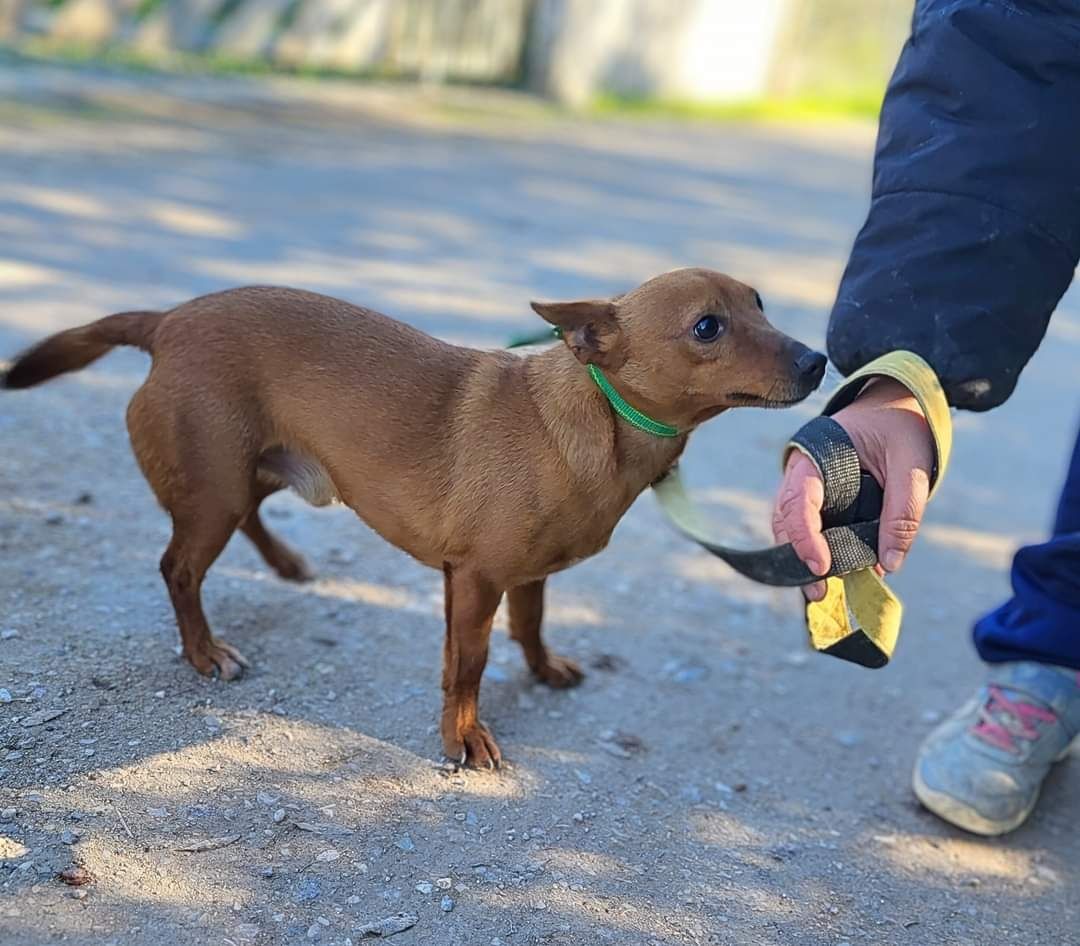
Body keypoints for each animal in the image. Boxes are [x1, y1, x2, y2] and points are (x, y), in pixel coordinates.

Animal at [4, 267, 820, 768]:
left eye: (759, 303)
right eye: (708, 327)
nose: (818, 361)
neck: (598, 413)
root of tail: (168, 320)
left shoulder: (527, 577)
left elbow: (529, 628)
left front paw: (544, 669)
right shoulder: (476, 581)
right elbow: (468, 667)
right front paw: (464, 738)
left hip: (254, 475)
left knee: (243, 526)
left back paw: (286, 564)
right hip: (215, 492)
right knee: (179, 568)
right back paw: (206, 652)